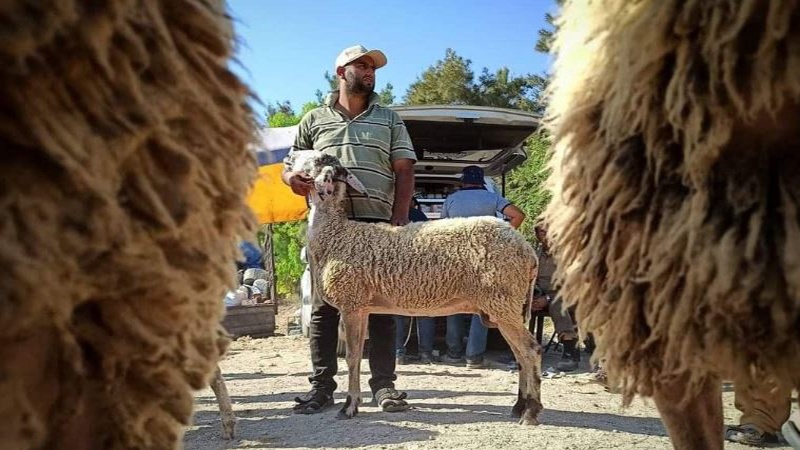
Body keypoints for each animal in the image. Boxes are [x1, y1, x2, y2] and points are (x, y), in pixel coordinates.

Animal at [288, 151, 544, 426]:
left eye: (315, 159)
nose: (290, 157)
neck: (337, 234)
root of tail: (528, 251)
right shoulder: (363, 307)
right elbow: (356, 356)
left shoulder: (351, 303)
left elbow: (353, 358)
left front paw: (349, 406)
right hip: (503, 307)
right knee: (520, 354)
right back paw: (519, 407)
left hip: (503, 300)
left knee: (530, 350)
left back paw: (531, 412)